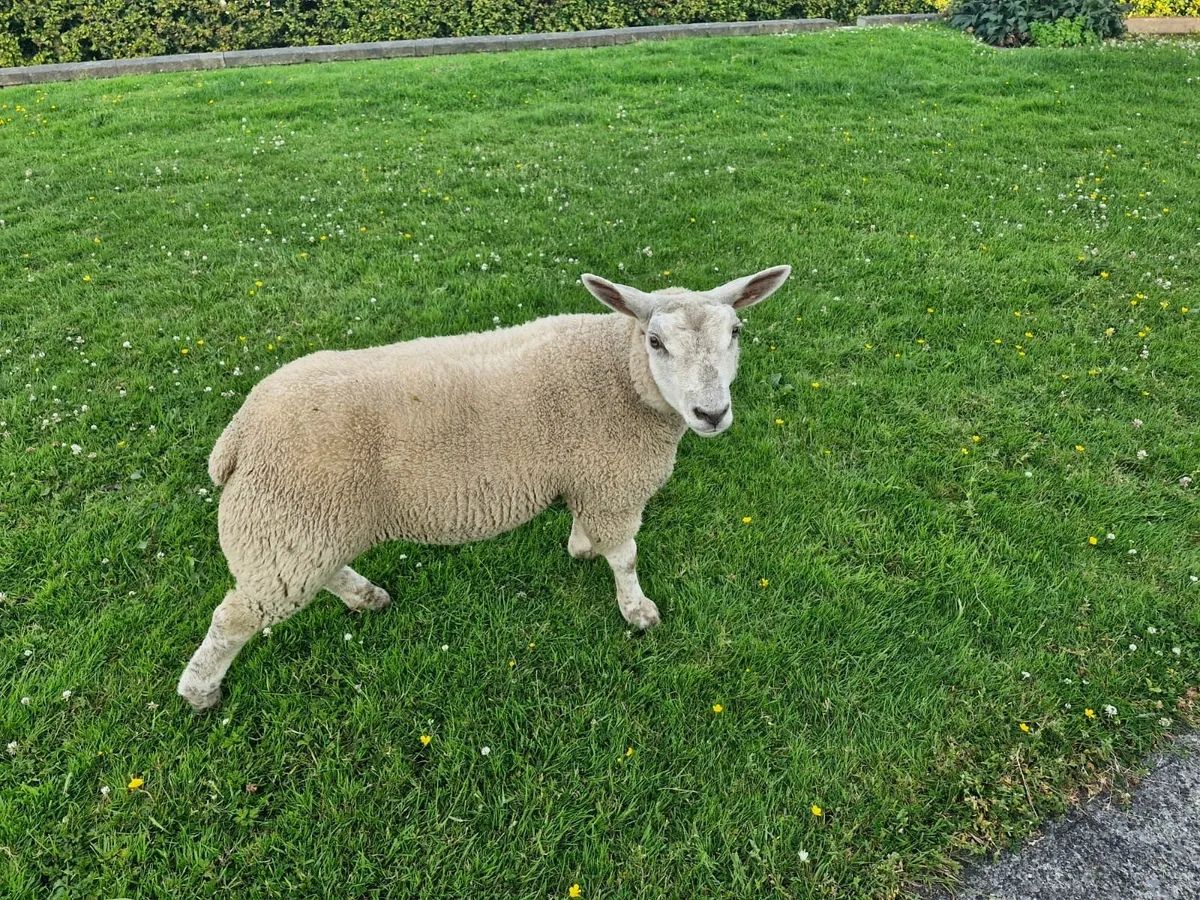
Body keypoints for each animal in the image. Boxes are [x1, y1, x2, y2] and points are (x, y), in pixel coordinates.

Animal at [177, 265, 791, 711]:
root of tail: (238, 434)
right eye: (656, 341)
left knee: (316, 575)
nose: (711, 414)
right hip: (286, 520)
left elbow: (588, 532)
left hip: (303, 527)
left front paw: (579, 548)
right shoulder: (613, 483)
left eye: (736, 333)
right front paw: (636, 610)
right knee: (234, 618)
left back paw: (365, 597)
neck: (620, 374)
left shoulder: (591, 477)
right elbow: (626, 558)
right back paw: (200, 691)